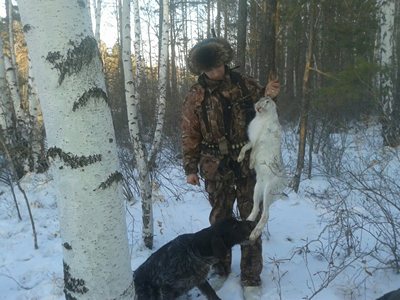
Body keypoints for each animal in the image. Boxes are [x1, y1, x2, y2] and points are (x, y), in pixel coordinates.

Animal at [236, 97, 286, 243]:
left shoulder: (260, 141)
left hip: (268, 191)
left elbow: (253, 151)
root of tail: (283, 187)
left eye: (267, 102)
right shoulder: (252, 141)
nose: (258, 106)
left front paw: (251, 164)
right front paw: (240, 158)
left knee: (265, 215)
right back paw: (247, 220)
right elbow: (246, 147)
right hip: (257, 188)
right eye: (260, 99)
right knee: (256, 208)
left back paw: (254, 235)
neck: (263, 118)